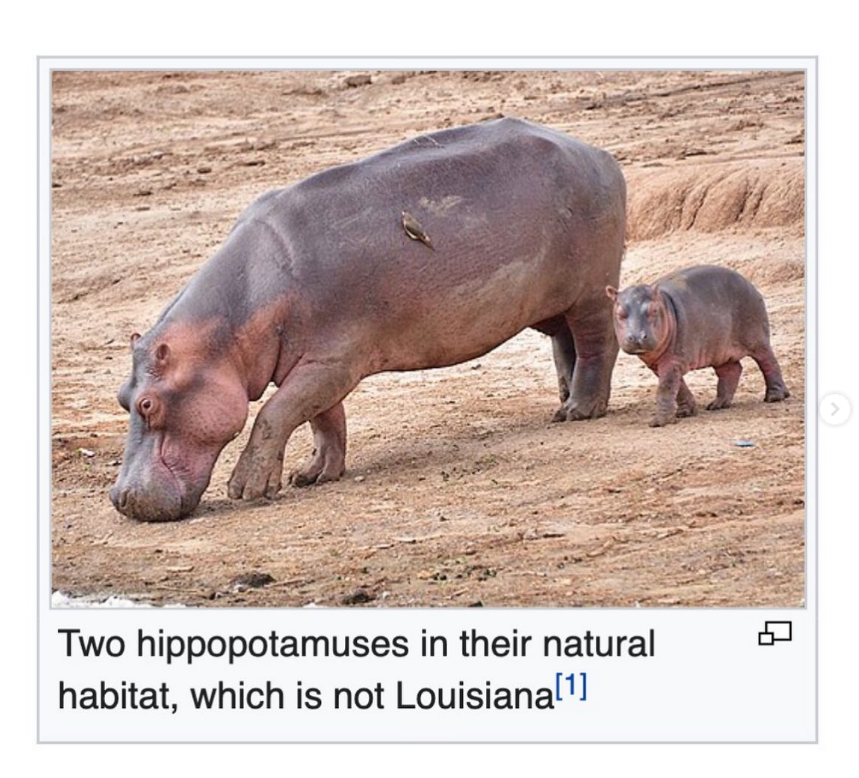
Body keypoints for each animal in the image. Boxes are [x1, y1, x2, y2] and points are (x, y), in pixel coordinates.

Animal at [111, 117, 626, 521]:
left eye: (149, 405)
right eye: (121, 397)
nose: (119, 499)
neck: (226, 332)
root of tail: (597, 153)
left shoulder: (331, 361)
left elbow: (275, 415)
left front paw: (248, 489)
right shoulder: (318, 365)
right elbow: (322, 419)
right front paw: (313, 475)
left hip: (591, 292)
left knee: (597, 345)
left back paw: (581, 410)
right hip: (551, 305)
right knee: (566, 344)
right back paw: (561, 406)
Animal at [606, 265, 790, 427]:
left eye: (653, 311)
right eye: (619, 314)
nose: (637, 337)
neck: (664, 305)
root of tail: (748, 282)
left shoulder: (673, 359)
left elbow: (665, 387)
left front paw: (658, 422)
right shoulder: (659, 364)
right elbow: (678, 386)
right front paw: (686, 412)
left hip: (756, 337)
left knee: (768, 361)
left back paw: (775, 396)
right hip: (720, 349)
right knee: (732, 370)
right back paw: (717, 404)